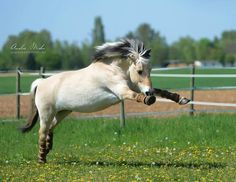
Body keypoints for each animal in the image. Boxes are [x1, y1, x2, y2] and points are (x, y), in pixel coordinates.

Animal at [20, 39, 190, 163]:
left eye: (150, 70)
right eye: (140, 71)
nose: (148, 91)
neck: (113, 69)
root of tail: (40, 83)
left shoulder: (132, 86)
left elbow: (160, 91)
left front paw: (182, 99)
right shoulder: (122, 91)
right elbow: (137, 96)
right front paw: (149, 99)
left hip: (62, 112)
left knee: (50, 129)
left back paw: (48, 149)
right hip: (46, 113)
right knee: (42, 132)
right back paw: (41, 159)